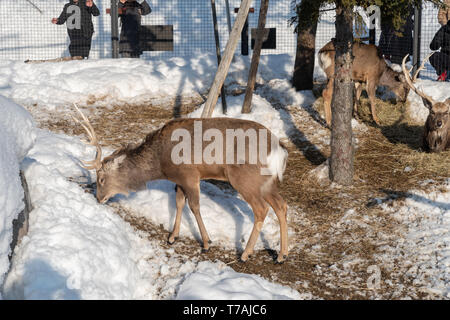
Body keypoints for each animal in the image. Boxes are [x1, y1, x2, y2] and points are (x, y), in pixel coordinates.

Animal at [70, 106, 288, 264]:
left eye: (101, 179)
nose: (98, 198)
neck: (161, 163)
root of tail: (278, 149)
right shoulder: (179, 180)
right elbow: (179, 203)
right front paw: (172, 236)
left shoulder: (189, 174)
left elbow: (195, 206)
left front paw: (206, 243)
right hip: (266, 181)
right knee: (281, 205)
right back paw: (281, 255)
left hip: (244, 177)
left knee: (261, 209)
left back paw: (245, 254)